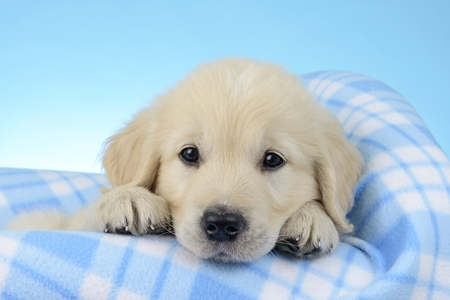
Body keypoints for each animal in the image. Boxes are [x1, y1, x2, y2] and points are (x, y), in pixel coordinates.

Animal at [7, 58, 362, 262]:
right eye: (189, 154)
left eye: (273, 160)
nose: (222, 224)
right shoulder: (70, 224)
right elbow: (88, 216)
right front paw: (127, 198)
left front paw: (312, 218)